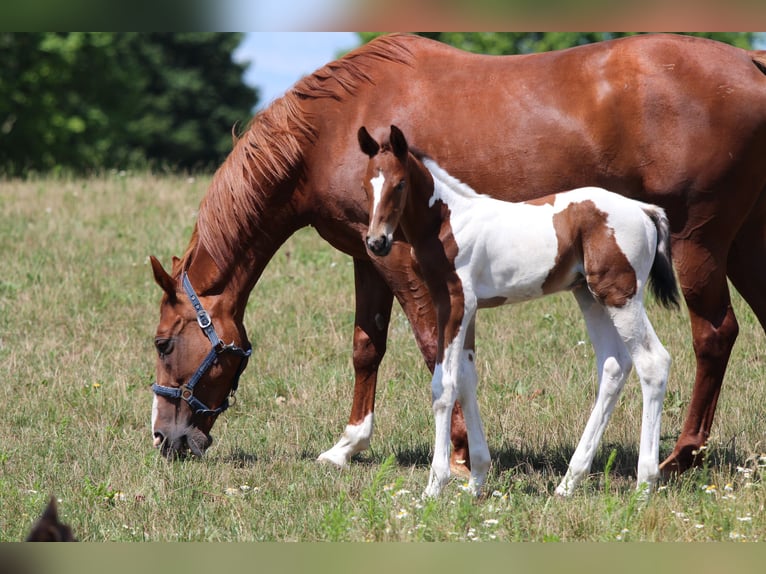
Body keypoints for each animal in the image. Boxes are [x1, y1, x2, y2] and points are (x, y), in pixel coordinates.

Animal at [358, 124, 678, 496]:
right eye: (366, 185)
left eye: (399, 184)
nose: (376, 242)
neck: (448, 222)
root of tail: (644, 210)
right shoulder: (468, 310)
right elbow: (467, 379)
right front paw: (476, 481)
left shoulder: (453, 303)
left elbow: (444, 386)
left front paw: (434, 486)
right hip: (590, 296)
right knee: (614, 366)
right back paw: (569, 482)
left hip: (620, 296)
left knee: (653, 363)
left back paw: (644, 484)